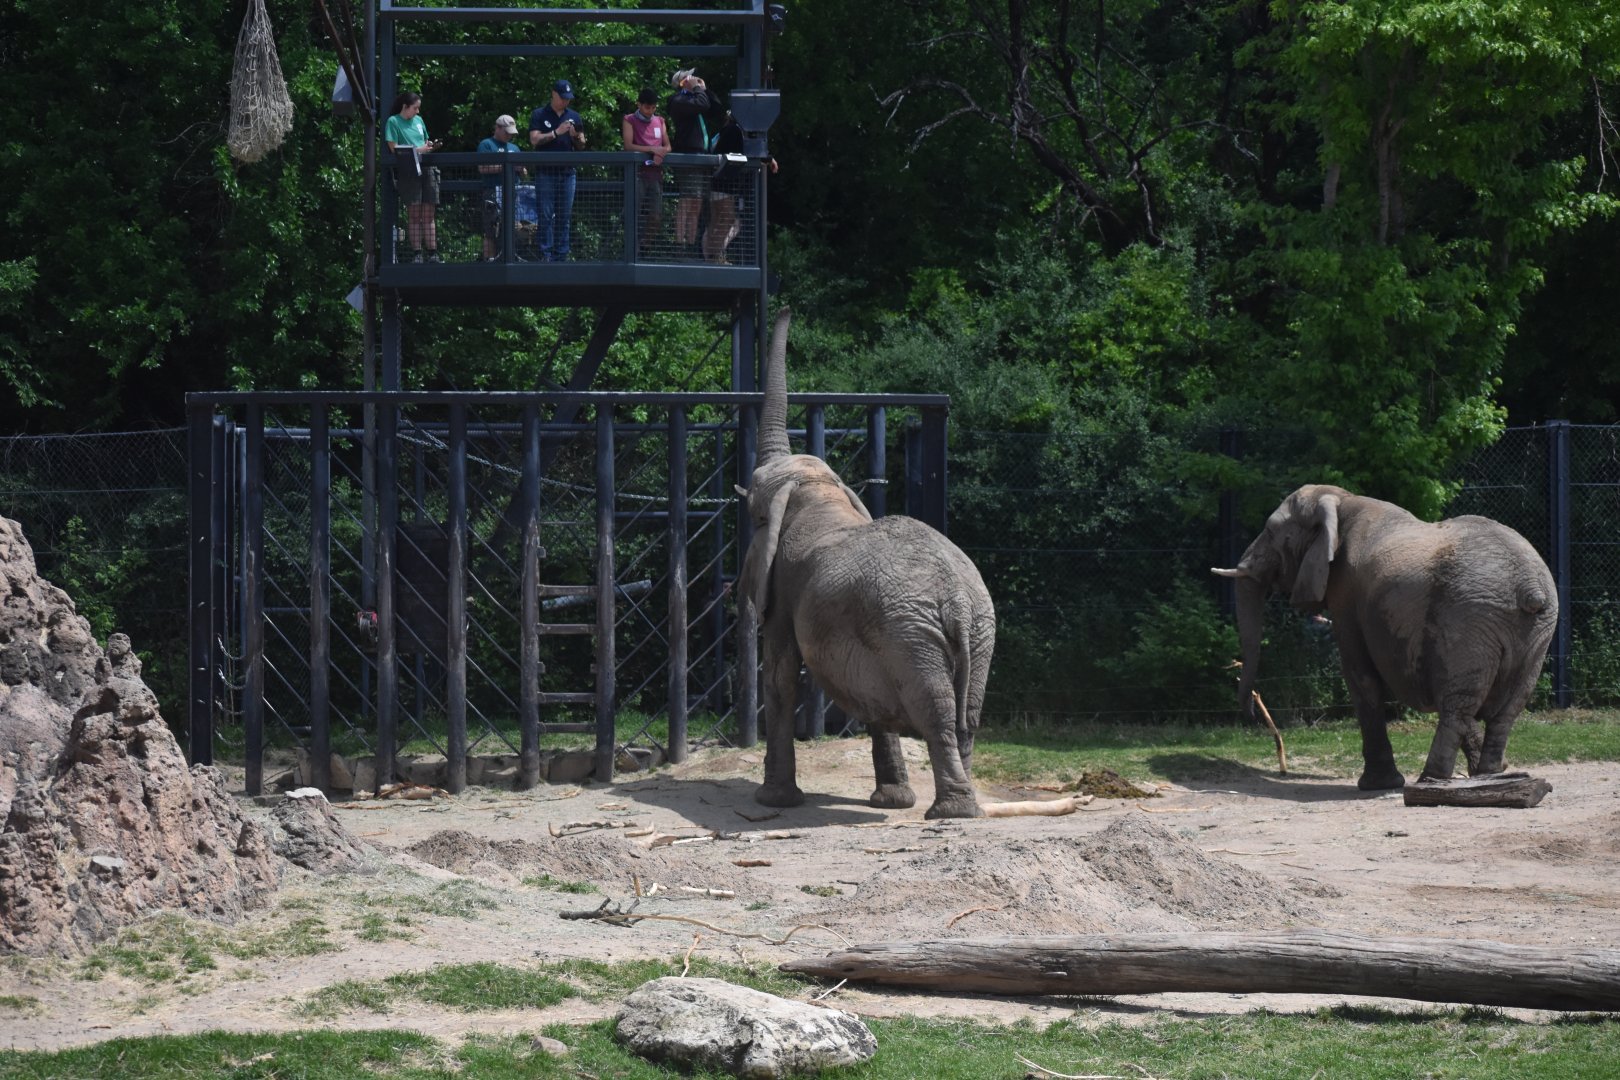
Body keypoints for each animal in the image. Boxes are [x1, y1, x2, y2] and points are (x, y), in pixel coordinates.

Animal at [736, 309, 996, 818]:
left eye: (753, 512)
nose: (787, 308)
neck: (813, 492)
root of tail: (957, 601)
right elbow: (873, 695)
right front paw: (891, 803)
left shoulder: (783, 587)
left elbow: (779, 675)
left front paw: (773, 800)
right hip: (972, 633)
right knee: (968, 716)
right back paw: (962, 804)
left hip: (911, 634)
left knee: (936, 710)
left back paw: (950, 813)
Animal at [1212, 484, 1557, 791]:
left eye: (1271, 531)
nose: (1253, 714)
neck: (1340, 499)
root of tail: (1529, 587)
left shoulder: (1346, 591)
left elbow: (1358, 673)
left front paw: (1376, 786)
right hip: (1535, 631)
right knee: (1505, 709)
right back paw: (1492, 776)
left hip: (1471, 617)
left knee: (1458, 705)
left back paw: (1430, 782)